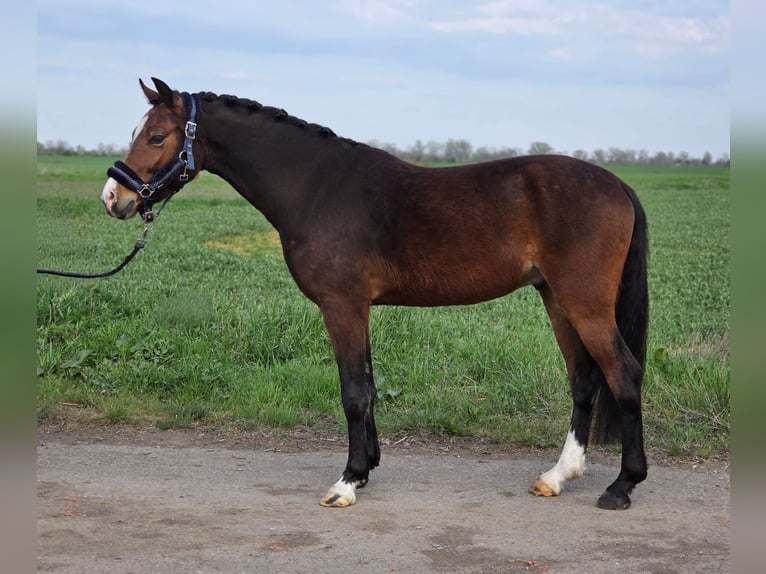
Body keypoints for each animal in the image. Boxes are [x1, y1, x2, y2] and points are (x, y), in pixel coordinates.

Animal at [102, 77, 649, 510]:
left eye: (156, 136)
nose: (114, 197)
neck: (316, 187)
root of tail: (617, 184)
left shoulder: (342, 306)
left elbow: (353, 392)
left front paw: (346, 483)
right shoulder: (357, 308)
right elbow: (365, 386)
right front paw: (365, 469)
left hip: (584, 304)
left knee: (622, 374)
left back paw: (622, 486)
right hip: (556, 299)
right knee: (584, 379)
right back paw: (558, 476)